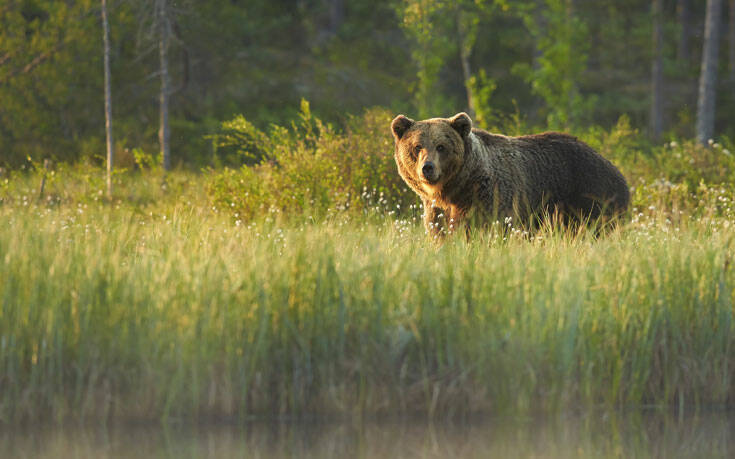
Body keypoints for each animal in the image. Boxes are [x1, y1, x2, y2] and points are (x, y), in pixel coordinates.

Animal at [392, 113, 632, 239]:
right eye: (417, 146)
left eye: (441, 146)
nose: (428, 167)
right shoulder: (437, 209)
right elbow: (440, 232)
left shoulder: (490, 197)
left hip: (591, 196)